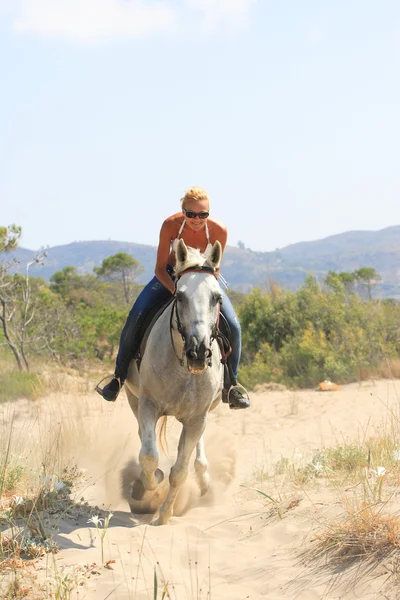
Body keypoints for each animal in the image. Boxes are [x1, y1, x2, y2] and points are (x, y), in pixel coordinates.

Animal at [124, 239, 223, 524]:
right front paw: (152, 483)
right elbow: (148, 456)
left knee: (196, 453)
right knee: (143, 437)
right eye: (179, 296)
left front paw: (165, 515)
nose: (198, 351)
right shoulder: (148, 405)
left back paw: (203, 478)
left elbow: (179, 471)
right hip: (133, 398)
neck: (182, 369)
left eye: (217, 297)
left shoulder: (197, 418)